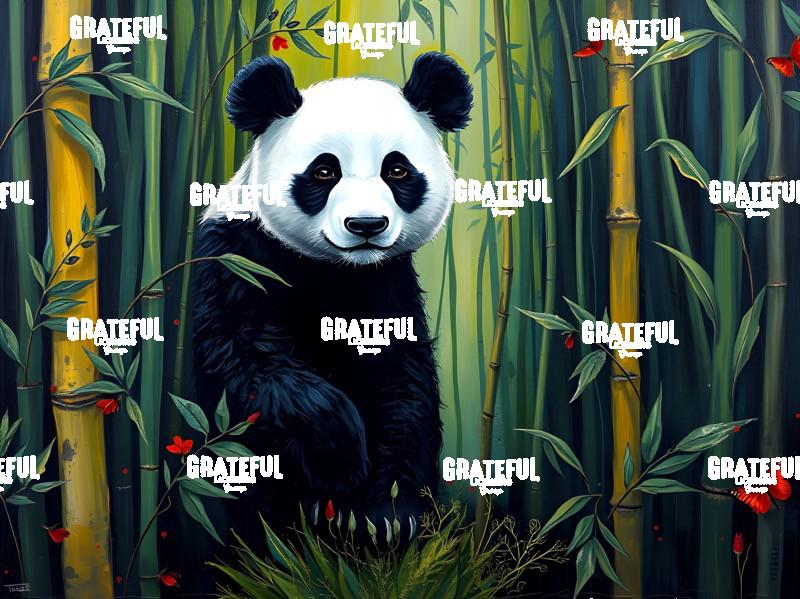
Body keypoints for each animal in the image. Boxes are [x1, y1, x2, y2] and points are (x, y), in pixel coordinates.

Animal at [192, 52, 472, 542]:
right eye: (324, 171)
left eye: (396, 170)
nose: (366, 225)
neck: (337, 268)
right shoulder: (240, 257)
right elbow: (246, 358)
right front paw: (341, 457)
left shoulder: (387, 284)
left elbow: (401, 383)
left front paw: (384, 513)